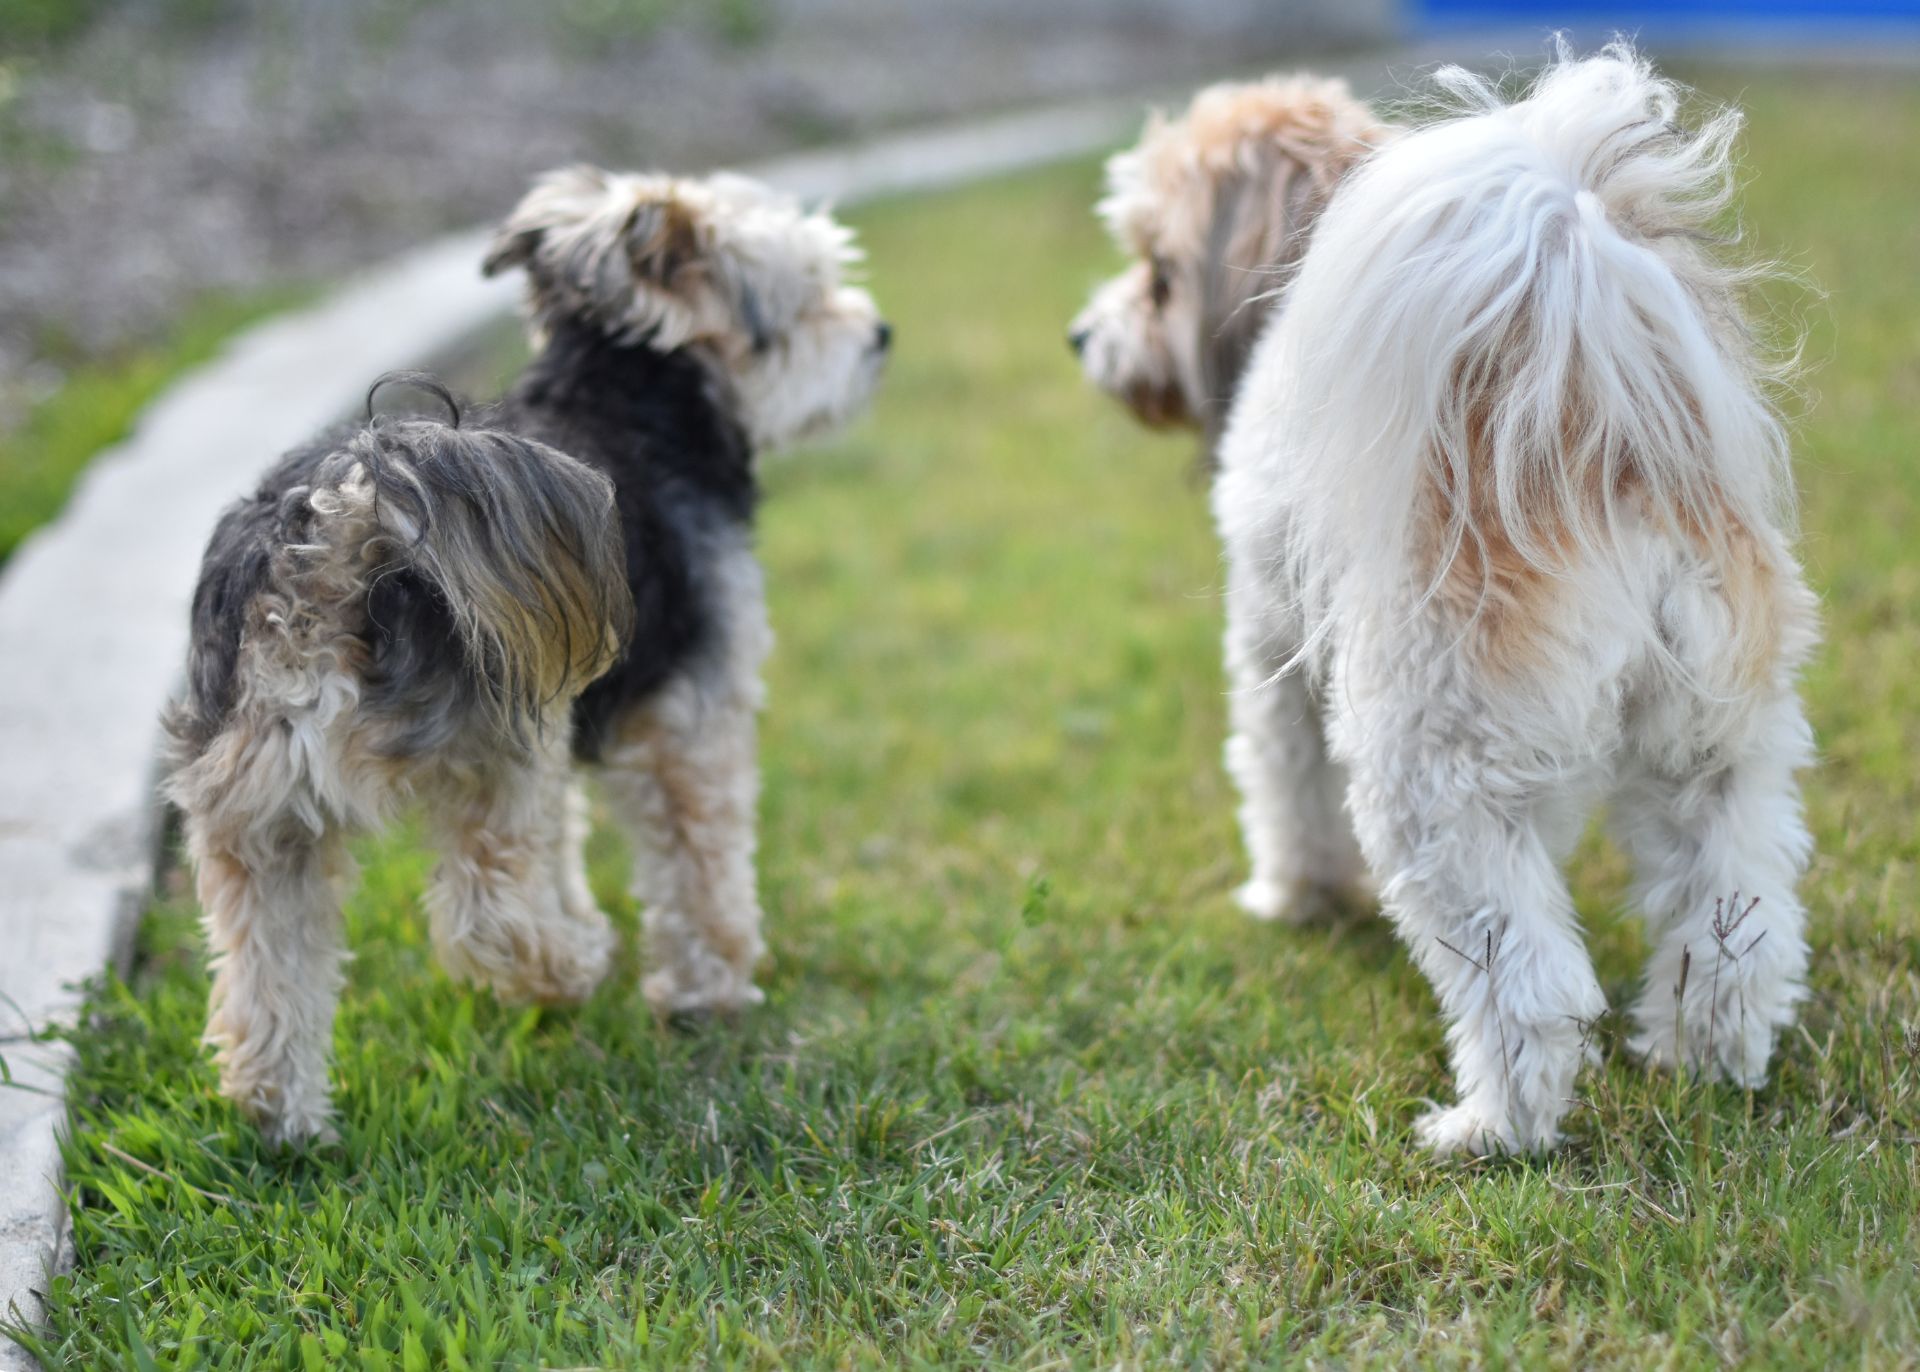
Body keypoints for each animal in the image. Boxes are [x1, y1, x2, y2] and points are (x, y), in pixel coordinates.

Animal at [165, 165, 883, 1143]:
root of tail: (347, 515)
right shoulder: (691, 717)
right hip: (491, 755)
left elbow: (568, 842)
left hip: (254, 807)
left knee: (265, 969)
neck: (632, 400)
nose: (879, 335)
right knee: (482, 917)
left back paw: (285, 1123)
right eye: (808, 296)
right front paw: (711, 991)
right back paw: (572, 964)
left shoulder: (566, 710)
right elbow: (704, 865)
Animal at [1213, 48, 1812, 1151]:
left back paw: (1491, 1129)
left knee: (1525, 989)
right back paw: (1702, 1064)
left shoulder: (1270, 649)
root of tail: (1608, 461)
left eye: (1147, 260)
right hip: (1716, 742)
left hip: (1433, 783)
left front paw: (1290, 897)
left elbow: (1283, 788)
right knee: (1736, 927)